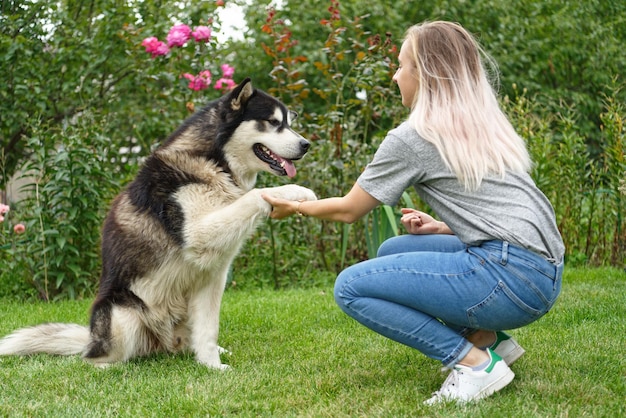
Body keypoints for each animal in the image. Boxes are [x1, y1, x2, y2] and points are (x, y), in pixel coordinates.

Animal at [0, 78, 314, 370]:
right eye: (272, 122)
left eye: (288, 122)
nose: (306, 145)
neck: (212, 162)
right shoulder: (199, 232)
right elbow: (255, 194)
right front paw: (295, 191)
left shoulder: (213, 275)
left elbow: (209, 330)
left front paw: (212, 366)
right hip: (122, 313)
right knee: (93, 358)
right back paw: (107, 366)